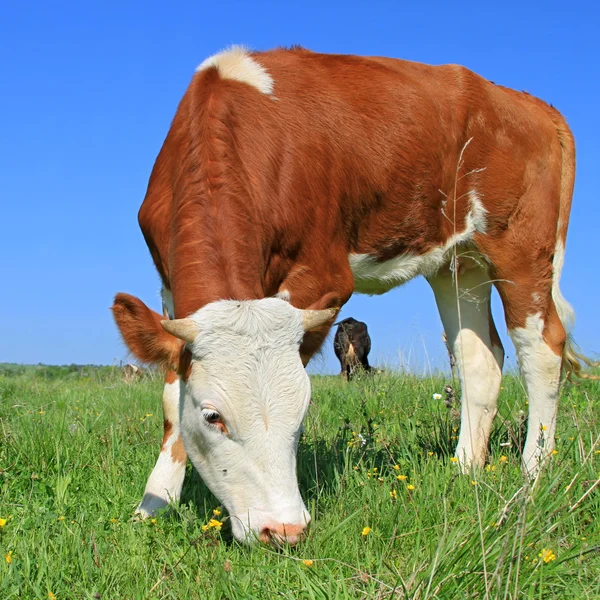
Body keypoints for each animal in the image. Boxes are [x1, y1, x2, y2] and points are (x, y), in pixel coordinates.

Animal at [111, 45, 592, 544]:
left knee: (542, 348)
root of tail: (531, 104)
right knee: (479, 358)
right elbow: (171, 397)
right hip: (459, 263)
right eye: (213, 417)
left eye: (302, 411)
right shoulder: (170, 289)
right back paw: (463, 470)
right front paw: (154, 502)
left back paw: (533, 472)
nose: (283, 529)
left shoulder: (323, 276)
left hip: (522, 248)